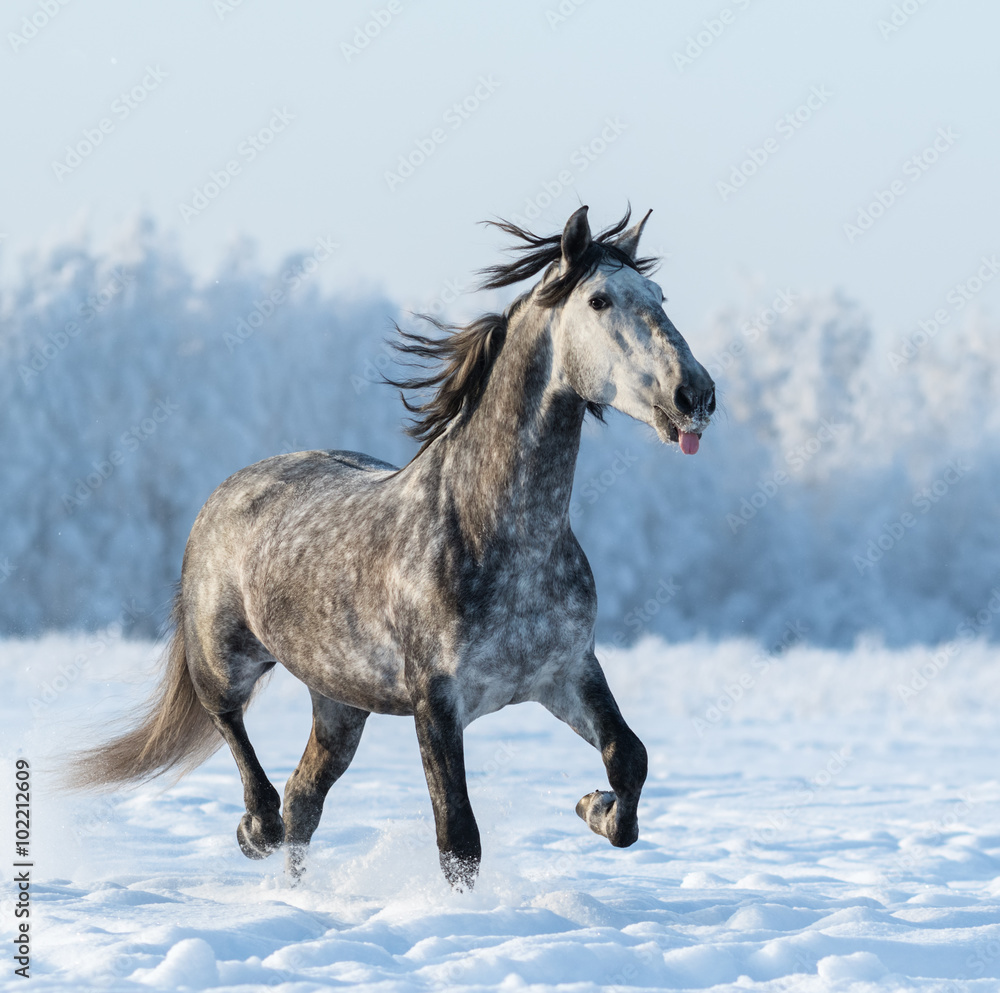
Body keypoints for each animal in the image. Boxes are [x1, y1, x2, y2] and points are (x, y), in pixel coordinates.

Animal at [66, 205, 716, 888]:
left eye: (660, 296)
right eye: (599, 300)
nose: (695, 396)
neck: (501, 539)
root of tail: (226, 491)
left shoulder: (566, 673)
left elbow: (629, 758)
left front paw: (595, 806)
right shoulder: (436, 702)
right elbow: (458, 837)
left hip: (339, 702)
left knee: (305, 798)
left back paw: (294, 891)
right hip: (225, 658)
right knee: (234, 731)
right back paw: (254, 829)